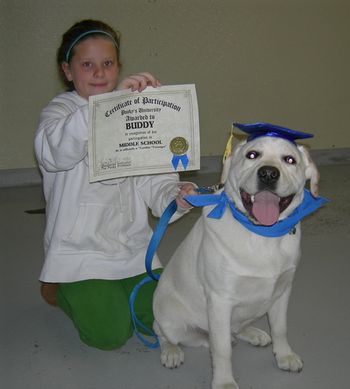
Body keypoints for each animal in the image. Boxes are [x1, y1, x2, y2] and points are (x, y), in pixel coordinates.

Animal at [154, 123, 324, 388]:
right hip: (169, 318)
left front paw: (284, 355)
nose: (268, 174)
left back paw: (253, 333)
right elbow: (222, 349)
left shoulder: (282, 291)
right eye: (252, 155)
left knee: (232, 331)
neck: (262, 234)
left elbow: (280, 328)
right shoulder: (220, 300)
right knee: (163, 333)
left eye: (289, 160)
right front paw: (224, 381)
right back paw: (171, 352)